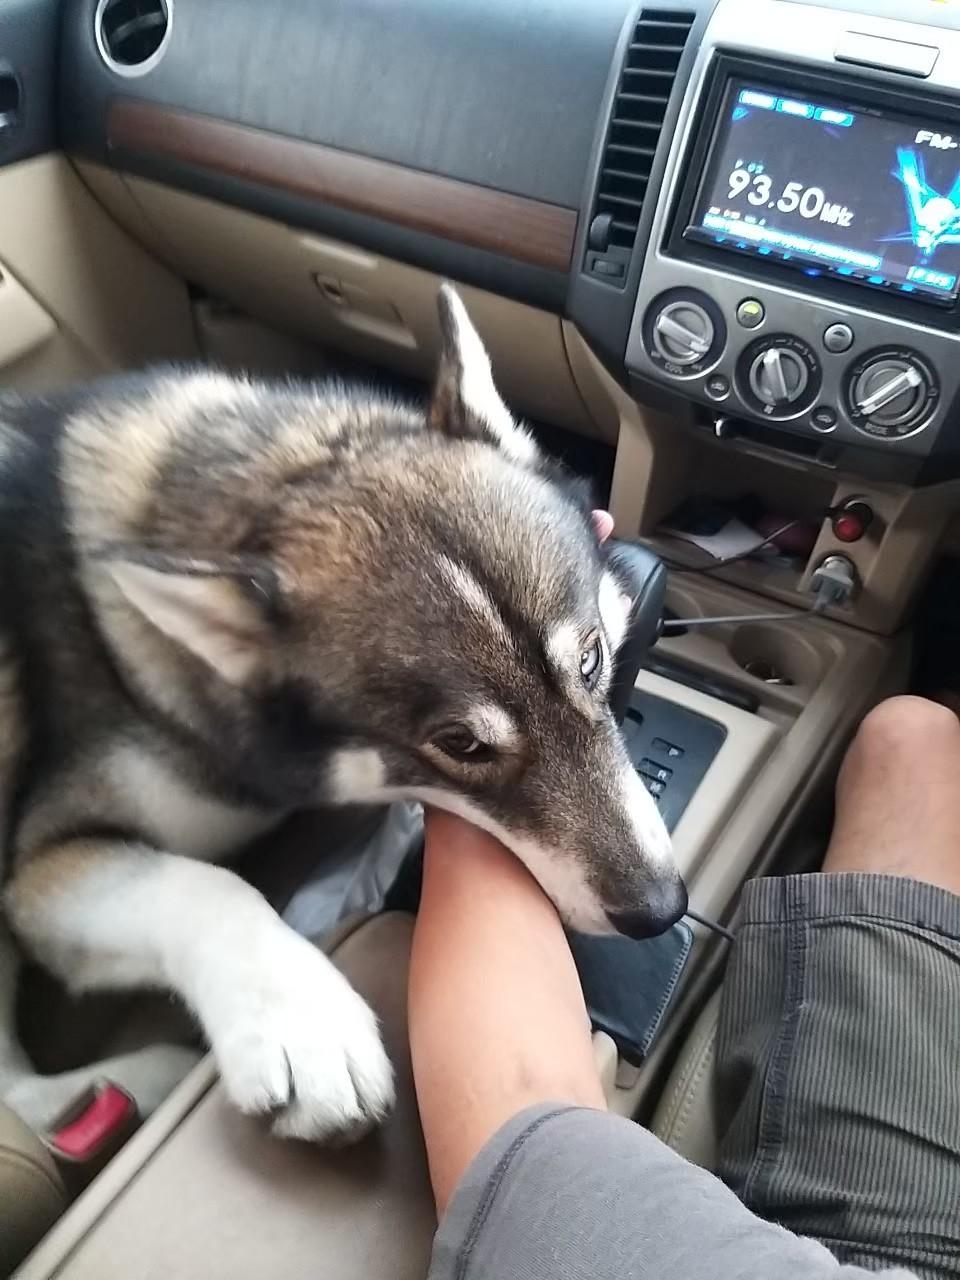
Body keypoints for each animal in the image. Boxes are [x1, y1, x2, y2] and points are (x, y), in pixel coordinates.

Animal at [0, 285, 685, 1143]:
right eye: (460, 743)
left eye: (590, 659)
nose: (662, 910)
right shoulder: (37, 871)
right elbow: (201, 885)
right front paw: (304, 1019)